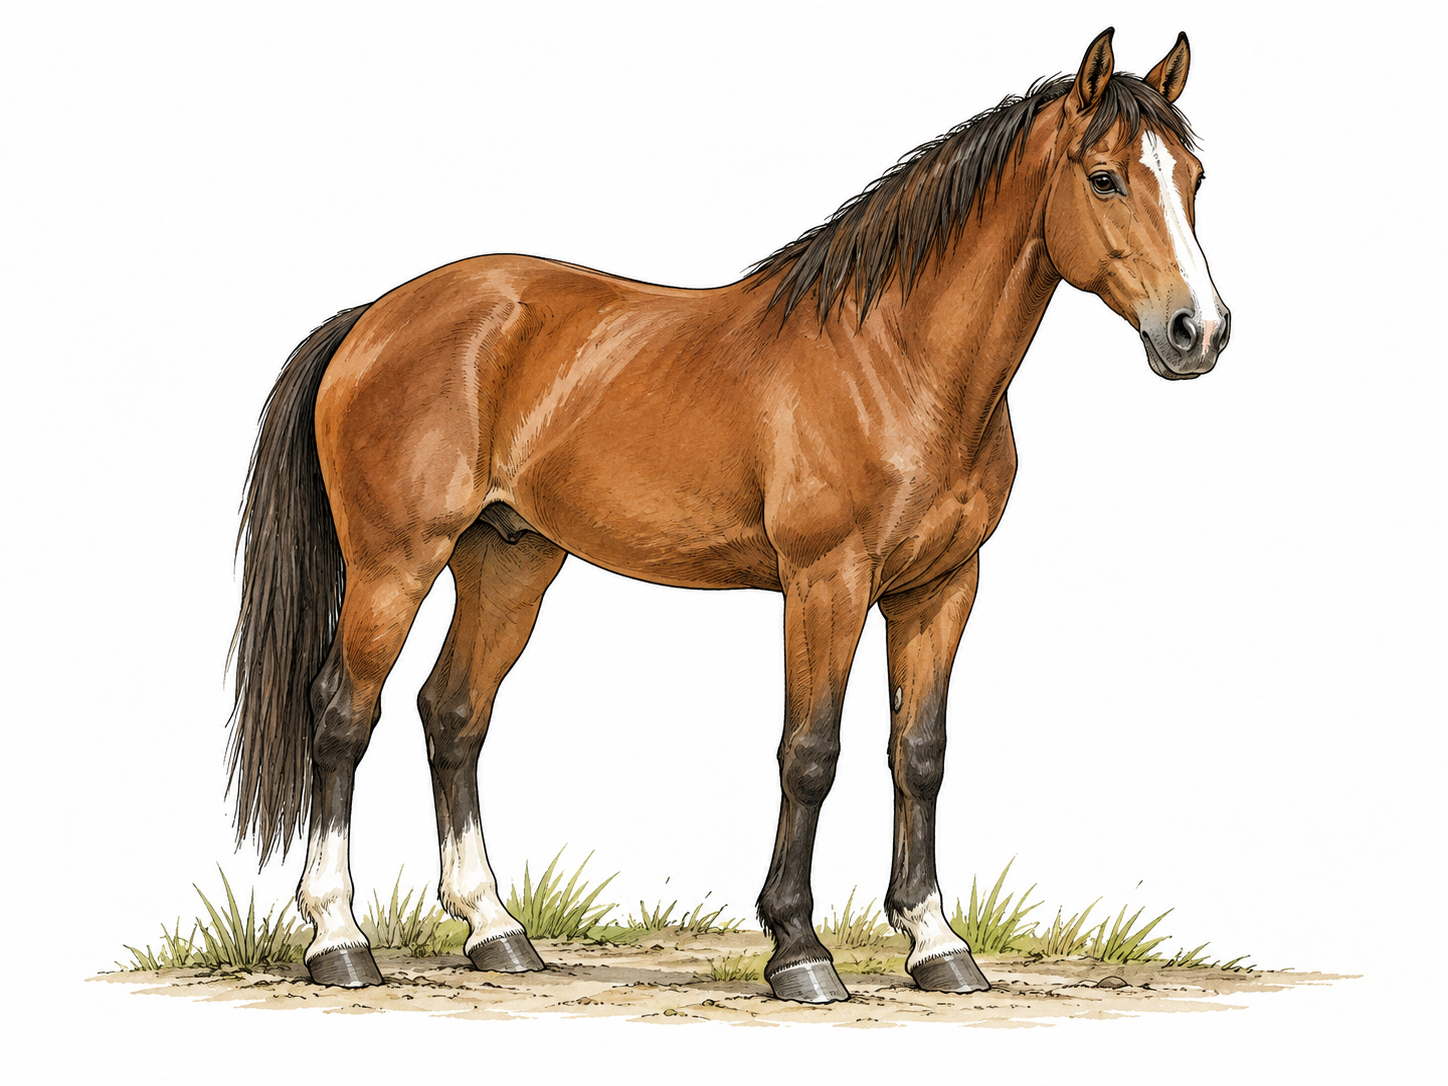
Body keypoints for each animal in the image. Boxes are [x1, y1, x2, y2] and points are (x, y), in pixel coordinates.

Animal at [229, 28, 1229, 1002]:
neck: (895, 361)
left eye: (1193, 176)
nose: (1199, 332)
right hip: (395, 563)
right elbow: (811, 752)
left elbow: (920, 752)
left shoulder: (942, 587)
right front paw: (799, 951)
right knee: (343, 715)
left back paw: (495, 930)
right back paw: (338, 940)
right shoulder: (826, 583)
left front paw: (936, 943)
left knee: (454, 714)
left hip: (509, 561)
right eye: (1104, 176)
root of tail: (376, 316)